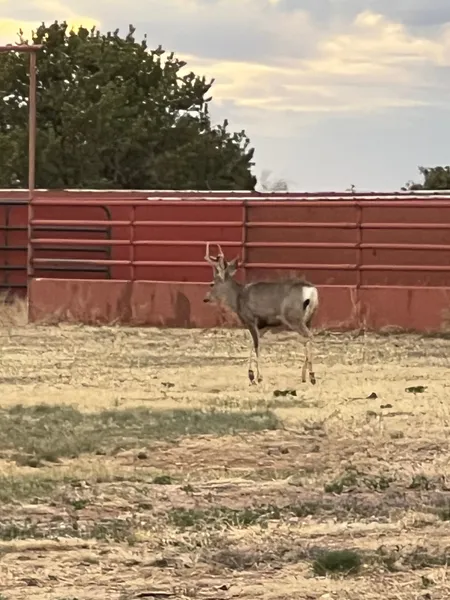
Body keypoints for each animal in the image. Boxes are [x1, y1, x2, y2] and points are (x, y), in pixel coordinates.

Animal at [203, 242, 319, 385]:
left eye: (211, 283)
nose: (206, 299)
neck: (238, 298)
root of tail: (311, 291)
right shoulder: (264, 325)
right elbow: (254, 344)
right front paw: (252, 374)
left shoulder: (250, 319)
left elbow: (256, 345)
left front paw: (256, 376)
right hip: (309, 318)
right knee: (306, 339)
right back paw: (304, 375)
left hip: (293, 318)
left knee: (309, 337)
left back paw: (311, 375)